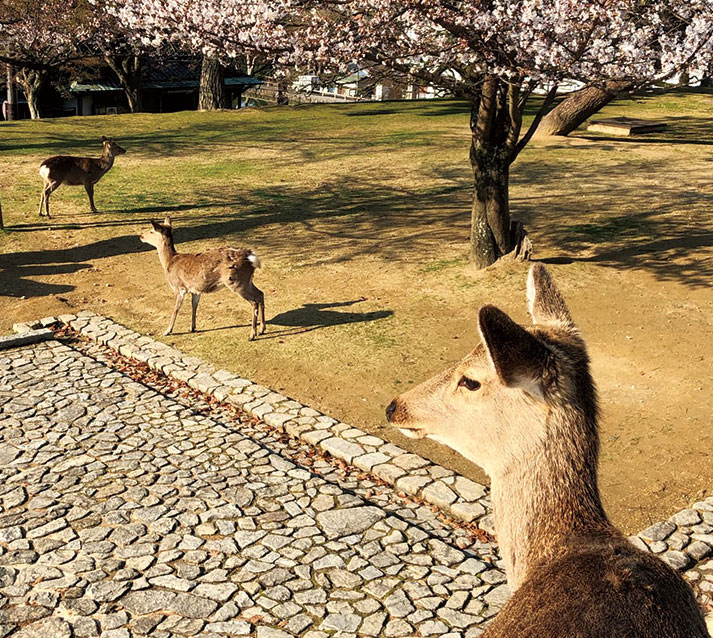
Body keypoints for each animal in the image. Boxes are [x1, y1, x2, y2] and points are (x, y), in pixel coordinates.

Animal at [138, 216, 266, 340]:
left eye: (151, 230)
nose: (141, 235)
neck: (169, 262)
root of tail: (251, 257)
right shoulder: (195, 289)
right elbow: (194, 305)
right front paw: (192, 327)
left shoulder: (179, 287)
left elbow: (176, 309)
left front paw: (167, 331)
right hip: (247, 280)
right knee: (260, 294)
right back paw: (262, 329)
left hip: (236, 281)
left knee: (254, 302)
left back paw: (252, 335)